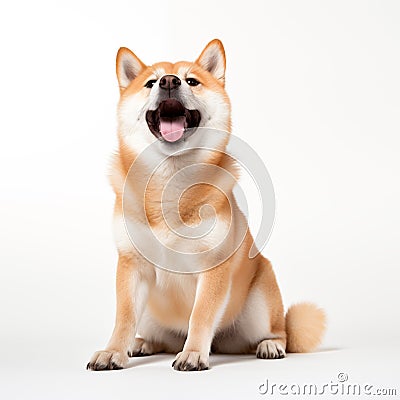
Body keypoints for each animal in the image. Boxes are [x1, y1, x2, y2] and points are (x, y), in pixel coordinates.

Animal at [86, 39, 324, 370]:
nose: (169, 81)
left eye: (191, 81)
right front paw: (113, 351)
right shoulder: (132, 264)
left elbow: (201, 314)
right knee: (158, 337)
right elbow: (124, 318)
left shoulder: (213, 267)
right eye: (150, 83)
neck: (171, 185)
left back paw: (269, 345)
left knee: (281, 331)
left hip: (261, 302)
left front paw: (194, 352)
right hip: (152, 315)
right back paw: (142, 343)